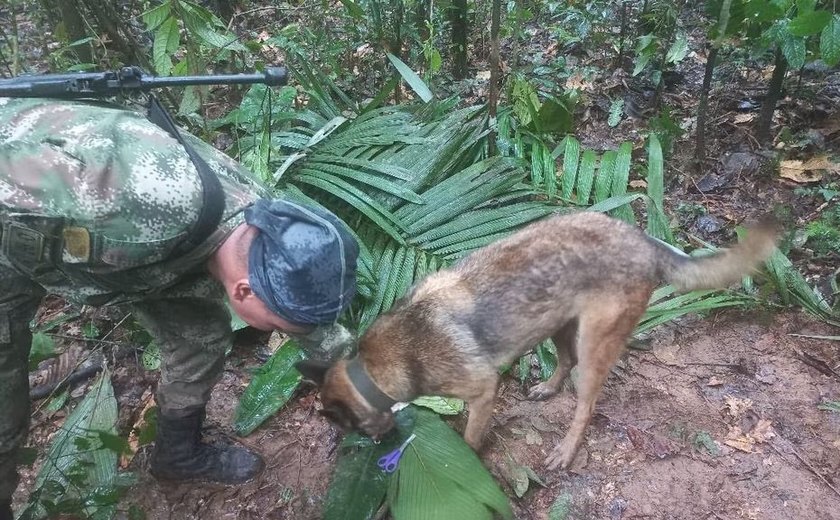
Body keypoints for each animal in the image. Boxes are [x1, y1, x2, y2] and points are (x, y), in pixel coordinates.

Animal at [296, 211, 780, 472]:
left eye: (348, 427)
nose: (379, 447)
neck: (373, 368)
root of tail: (642, 239)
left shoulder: (482, 391)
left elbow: (470, 437)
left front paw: (465, 459)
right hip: (558, 323)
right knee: (563, 362)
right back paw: (548, 387)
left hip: (594, 343)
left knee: (586, 403)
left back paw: (566, 449)